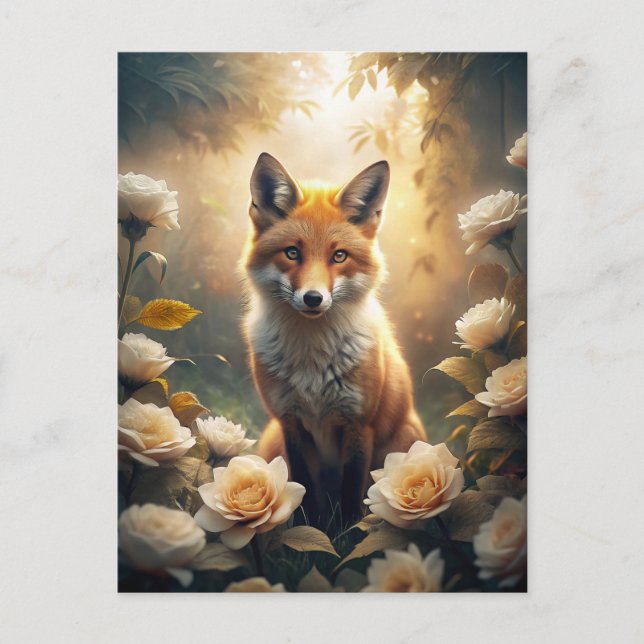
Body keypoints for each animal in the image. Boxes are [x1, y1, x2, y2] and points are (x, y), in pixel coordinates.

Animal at [241, 152, 426, 527]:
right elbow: (305, 492)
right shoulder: (291, 423)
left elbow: (353, 498)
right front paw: (309, 533)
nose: (313, 299)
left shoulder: (358, 424)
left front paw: (348, 534)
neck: (312, 358)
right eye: (292, 253)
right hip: (271, 442)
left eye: (338, 256)